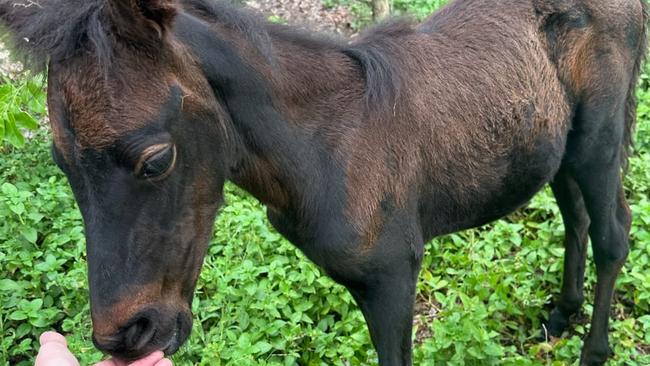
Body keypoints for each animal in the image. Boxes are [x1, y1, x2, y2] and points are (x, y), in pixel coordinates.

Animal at [1, 0, 644, 364]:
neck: (319, 153)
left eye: (156, 159)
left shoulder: (393, 275)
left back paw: (594, 351)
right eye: (62, 163)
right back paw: (560, 316)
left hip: (600, 136)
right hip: (558, 149)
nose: (126, 335)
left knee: (614, 231)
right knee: (576, 217)